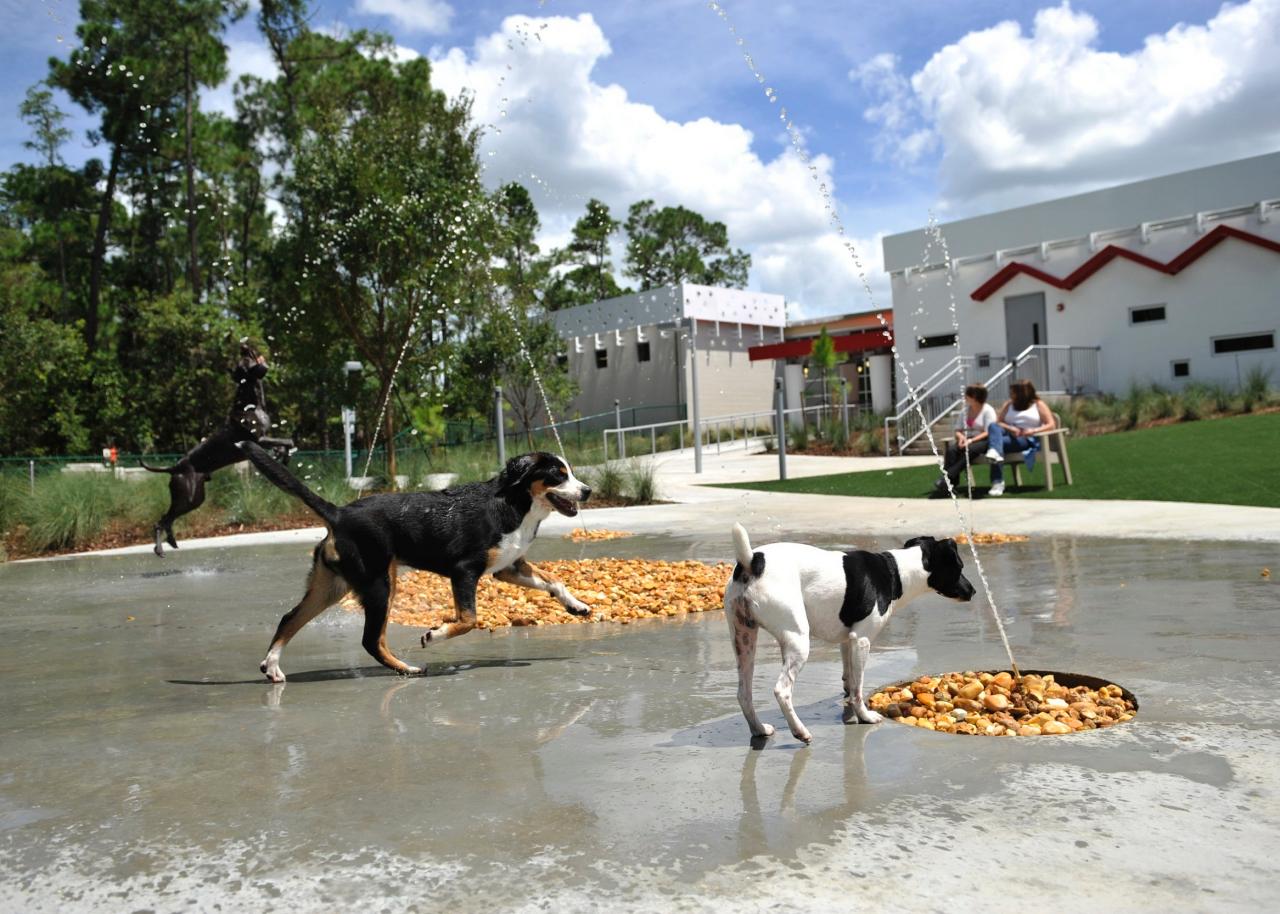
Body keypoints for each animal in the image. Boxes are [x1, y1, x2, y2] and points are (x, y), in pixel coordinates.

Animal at [239, 437, 588, 681]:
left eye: (570, 473)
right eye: (557, 476)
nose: (587, 491)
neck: (514, 504)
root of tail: (338, 514)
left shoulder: (509, 567)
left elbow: (554, 581)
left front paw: (577, 605)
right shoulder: (465, 571)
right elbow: (468, 620)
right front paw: (434, 635)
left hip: (332, 587)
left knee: (290, 618)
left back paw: (272, 667)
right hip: (380, 584)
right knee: (371, 640)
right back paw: (408, 669)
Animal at [727, 522, 972, 742]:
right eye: (959, 567)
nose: (973, 591)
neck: (897, 572)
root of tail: (752, 562)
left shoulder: (848, 640)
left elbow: (849, 678)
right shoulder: (862, 640)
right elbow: (858, 687)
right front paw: (864, 716)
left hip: (744, 639)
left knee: (743, 693)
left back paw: (759, 729)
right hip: (797, 641)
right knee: (782, 690)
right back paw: (800, 732)